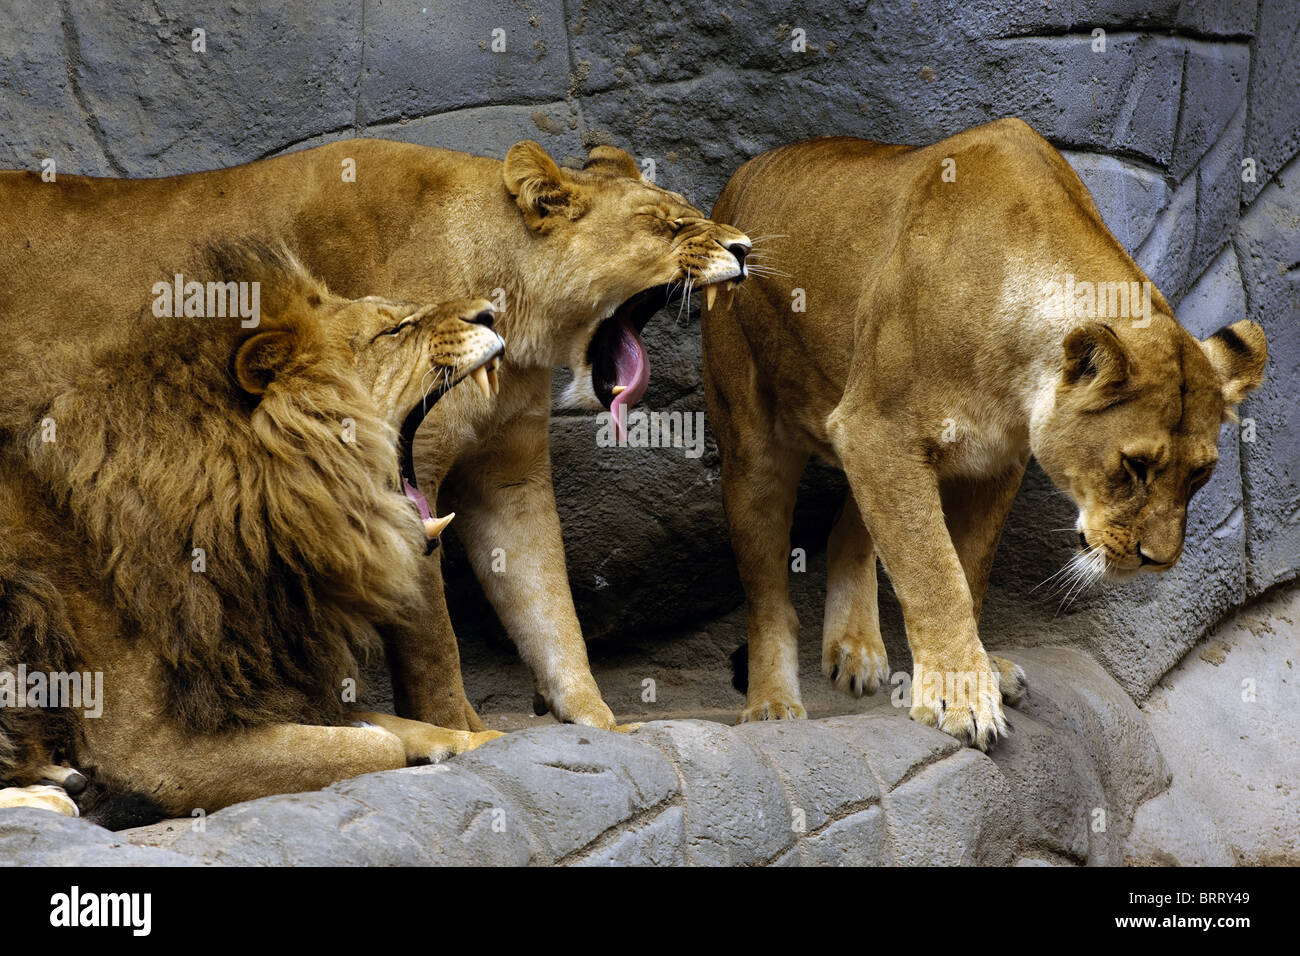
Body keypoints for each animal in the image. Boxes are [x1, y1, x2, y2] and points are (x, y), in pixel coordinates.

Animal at [0, 136, 754, 733]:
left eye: (689, 211)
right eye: (668, 224)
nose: (745, 246)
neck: (519, 323)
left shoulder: (508, 476)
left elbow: (549, 608)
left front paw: (601, 724)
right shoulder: (395, 472)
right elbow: (436, 640)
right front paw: (466, 733)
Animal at [0, 243, 501, 816]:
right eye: (393, 330)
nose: (491, 312)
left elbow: (397, 725)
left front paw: (478, 738)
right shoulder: (150, 750)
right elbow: (373, 746)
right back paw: (52, 795)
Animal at [707, 117, 1263, 749]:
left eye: (1201, 475)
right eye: (1135, 466)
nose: (1157, 562)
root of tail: (742, 177)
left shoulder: (989, 462)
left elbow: (968, 569)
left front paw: (974, 675)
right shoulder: (877, 428)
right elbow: (932, 570)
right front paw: (960, 697)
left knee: (851, 527)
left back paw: (857, 648)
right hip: (752, 437)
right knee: (767, 590)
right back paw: (772, 704)